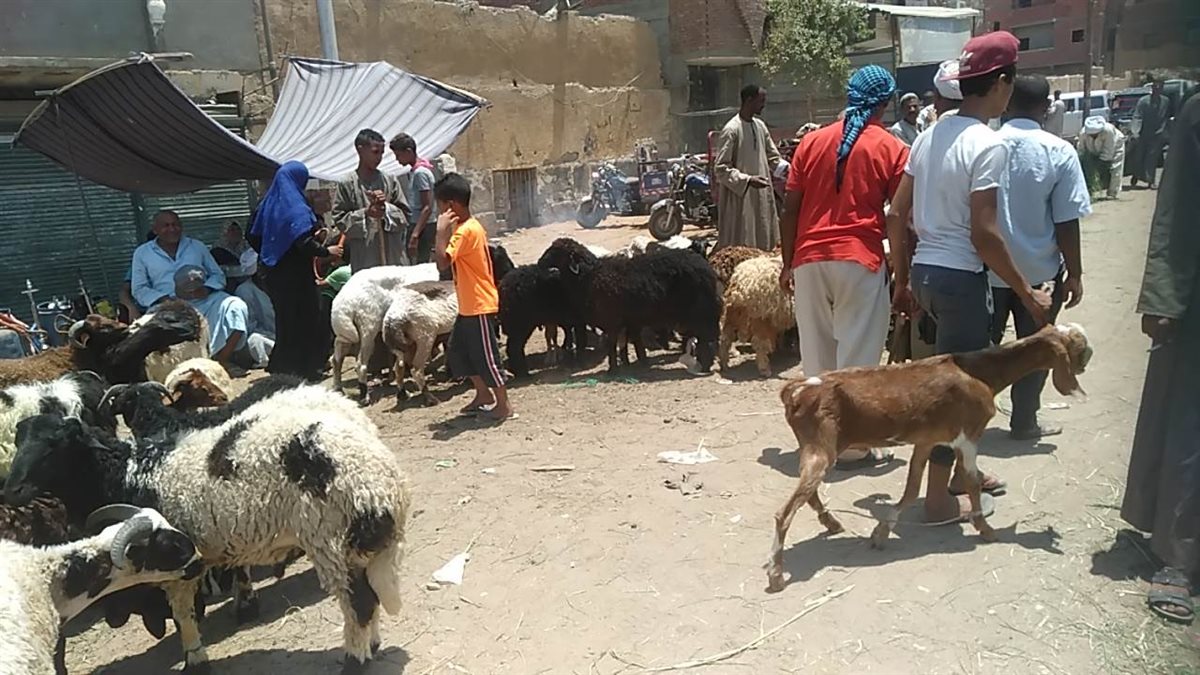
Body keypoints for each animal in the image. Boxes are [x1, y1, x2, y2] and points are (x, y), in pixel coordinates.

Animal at [540, 239, 722, 373]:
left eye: (555, 252)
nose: (540, 262)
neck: (590, 276)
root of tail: (706, 267)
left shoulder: (612, 320)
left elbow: (613, 343)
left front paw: (613, 369)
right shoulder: (629, 321)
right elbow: (632, 342)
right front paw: (637, 362)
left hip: (701, 312)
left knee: (707, 339)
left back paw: (705, 365)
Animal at [765, 324, 1093, 592]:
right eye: (1078, 344)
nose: (1088, 358)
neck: (981, 372)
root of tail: (798, 389)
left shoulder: (926, 440)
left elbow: (912, 488)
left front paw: (882, 532)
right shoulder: (968, 435)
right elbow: (972, 482)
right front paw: (985, 530)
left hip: (817, 449)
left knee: (807, 493)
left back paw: (831, 524)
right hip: (821, 448)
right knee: (785, 512)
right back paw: (777, 574)